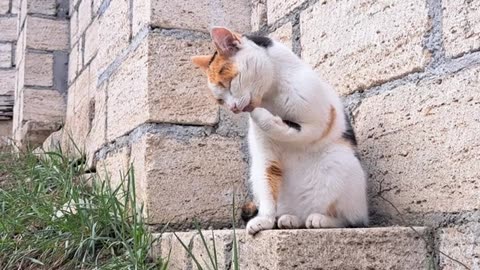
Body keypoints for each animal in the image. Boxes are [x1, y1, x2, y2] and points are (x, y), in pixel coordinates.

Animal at [191, 26, 368, 234]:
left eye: (228, 83)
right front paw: (264, 220)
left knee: (350, 220)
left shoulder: (318, 123)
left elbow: (289, 128)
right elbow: (268, 187)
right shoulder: (265, 157)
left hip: (340, 162)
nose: (233, 108)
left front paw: (260, 115)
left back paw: (321, 219)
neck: (271, 96)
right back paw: (289, 219)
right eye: (220, 100)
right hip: (257, 175)